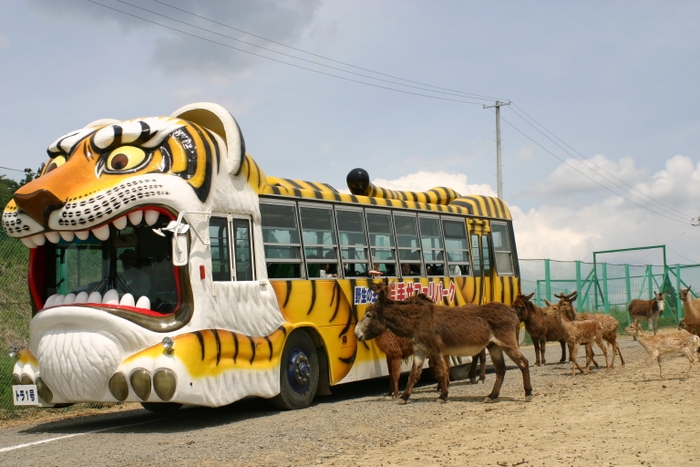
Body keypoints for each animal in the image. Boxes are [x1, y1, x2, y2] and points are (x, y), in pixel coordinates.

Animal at [352, 282, 532, 406]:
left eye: (368, 315)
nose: (356, 334)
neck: (417, 321)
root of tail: (512, 311)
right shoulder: (420, 350)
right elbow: (413, 374)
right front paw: (404, 397)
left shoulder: (435, 349)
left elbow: (440, 371)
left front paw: (443, 395)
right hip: (494, 345)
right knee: (501, 369)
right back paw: (492, 396)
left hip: (507, 343)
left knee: (524, 363)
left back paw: (528, 393)